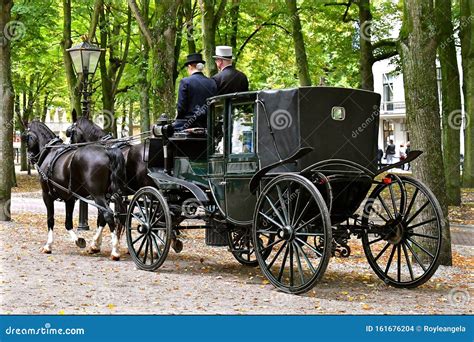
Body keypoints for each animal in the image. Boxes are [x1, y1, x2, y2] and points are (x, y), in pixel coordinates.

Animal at [25, 120, 126, 260]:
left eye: (26, 137)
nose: (29, 157)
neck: (50, 151)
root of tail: (107, 151)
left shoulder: (46, 195)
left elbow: (50, 220)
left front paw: (48, 245)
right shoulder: (70, 198)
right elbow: (68, 223)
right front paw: (79, 240)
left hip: (98, 195)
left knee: (108, 215)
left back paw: (115, 250)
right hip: (106, 195)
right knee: (104, 217)